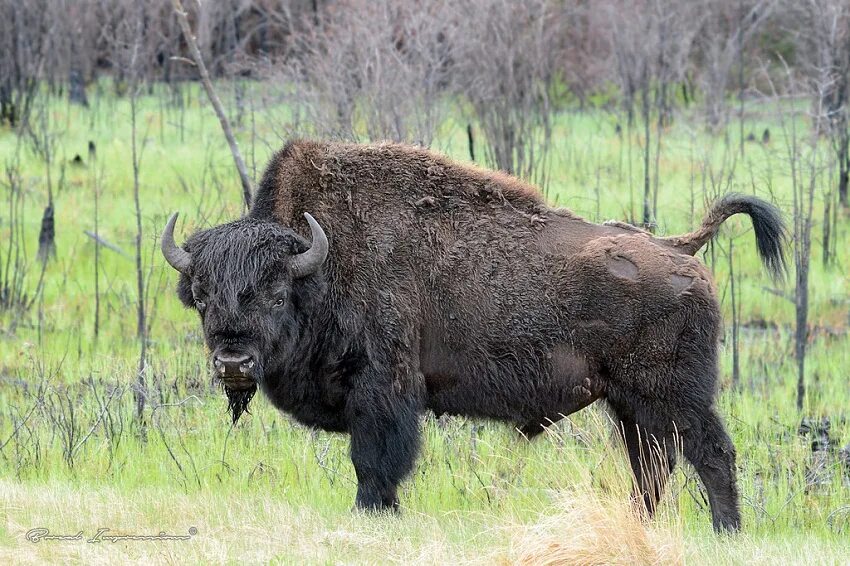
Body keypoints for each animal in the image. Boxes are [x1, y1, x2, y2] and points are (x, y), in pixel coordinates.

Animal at [159, 140, 780, 536]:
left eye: (275, 292)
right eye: (203, 295)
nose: (233, 361)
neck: (323, 262)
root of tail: (678, 248)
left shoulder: (383, 391)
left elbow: (374, 459)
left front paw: (372, 513)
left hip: (675, 396)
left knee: (710, 452)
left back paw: (727, 533)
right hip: (630, 404)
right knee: (652, 465)